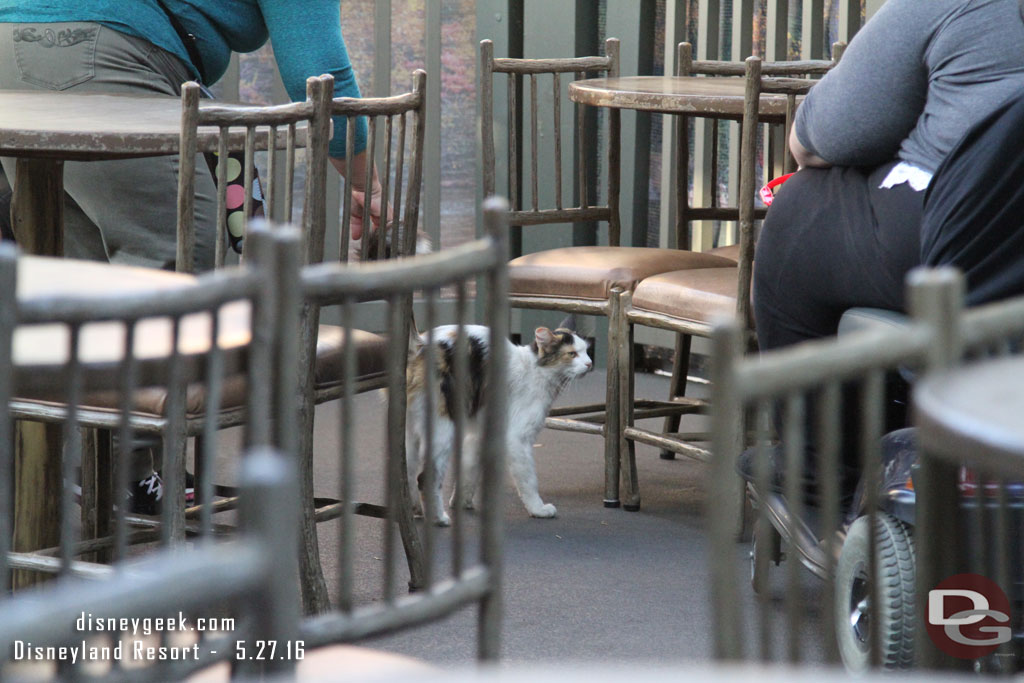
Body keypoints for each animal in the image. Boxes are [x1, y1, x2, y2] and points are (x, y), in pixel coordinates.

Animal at [403, 317, 589, 524]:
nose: (590, 364)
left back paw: (416, 511)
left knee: (408, 474)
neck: (535, 370)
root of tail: (419, 344)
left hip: (410, 434)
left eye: (587, 351)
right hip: (442, 430)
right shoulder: (517, 438)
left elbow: (468, 472)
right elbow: (529, 480)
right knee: (424, 479)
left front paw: (461, 502)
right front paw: (538, 509)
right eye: (572, 354)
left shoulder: (476, 436)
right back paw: (439, 518)